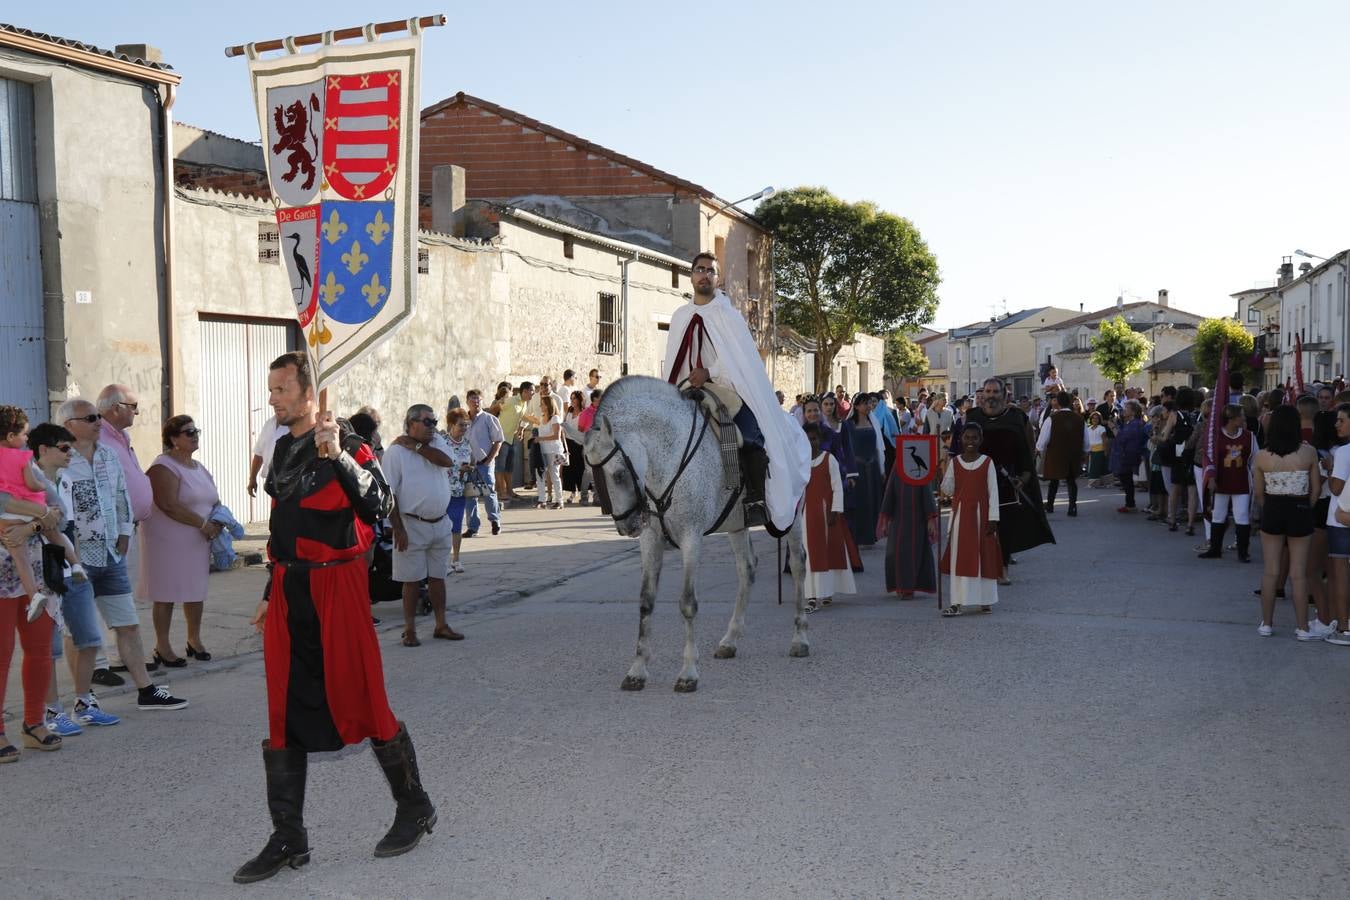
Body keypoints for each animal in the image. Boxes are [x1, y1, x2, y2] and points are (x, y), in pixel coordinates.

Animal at [583, 377, 810, 696]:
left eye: (618, 474)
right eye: (596, 478)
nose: (626, 526)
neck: (669, 460)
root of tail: (793, 424)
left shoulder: (692, 537)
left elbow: (688, 603)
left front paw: (688, 672)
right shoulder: (650, 539)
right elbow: (646, 601)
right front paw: (637, 671)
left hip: (793, 513)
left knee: (799, 565)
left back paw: (800, 638)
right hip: (737, 524)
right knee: (746, 570)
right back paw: (730, 640)